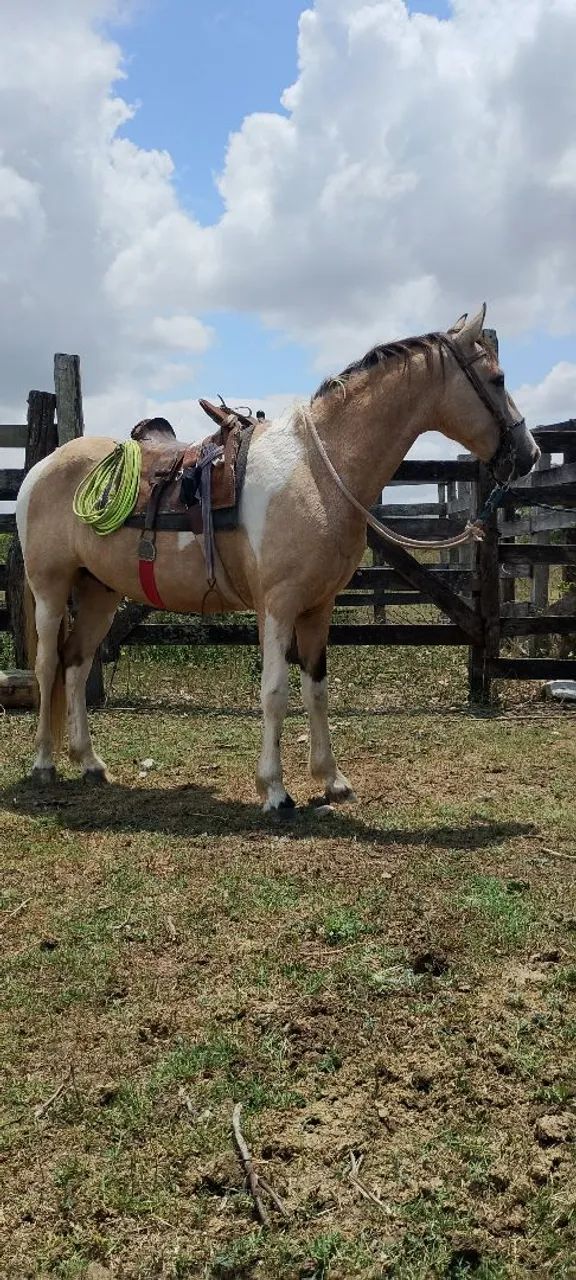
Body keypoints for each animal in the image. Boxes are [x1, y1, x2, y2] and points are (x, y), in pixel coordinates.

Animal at [16, 305, 539, 810]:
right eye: (497, 379)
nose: (529, 455)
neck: (316, 473)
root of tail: (43, 468)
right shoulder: (278, 605)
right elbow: (275, 693)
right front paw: (274, 790)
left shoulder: (318, 607)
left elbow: (317, 689)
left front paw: (332, 780)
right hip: (51, 588)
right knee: (47, 666)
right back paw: (44, 763)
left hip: (99, 592)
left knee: (76, 664)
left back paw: (90, 763)